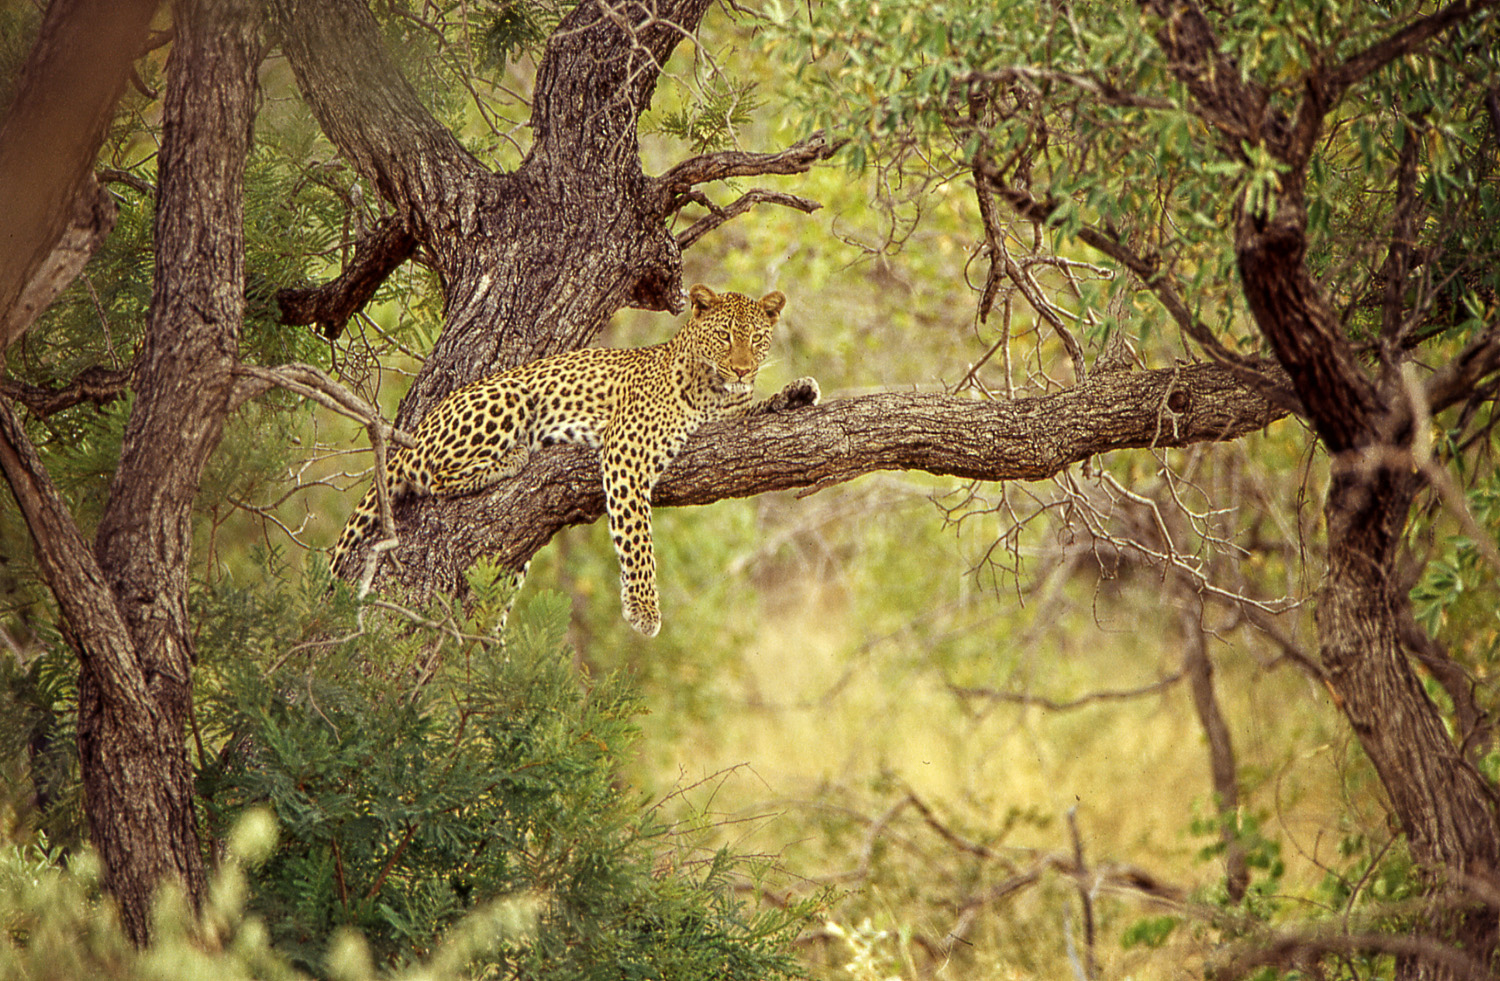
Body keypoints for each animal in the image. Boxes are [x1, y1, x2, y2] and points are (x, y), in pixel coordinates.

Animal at [331, 284, 819, 637]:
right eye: (724, 336)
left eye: (757, 339)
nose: (742, 369)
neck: (713, 389)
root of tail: (417, 431)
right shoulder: (627, 449)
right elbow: (637, 537)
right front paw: (644, 610)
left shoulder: (729, 418)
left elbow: (758, 408)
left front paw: (798, 391)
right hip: (510, 396)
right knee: (431, 472)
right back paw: (512, 458)